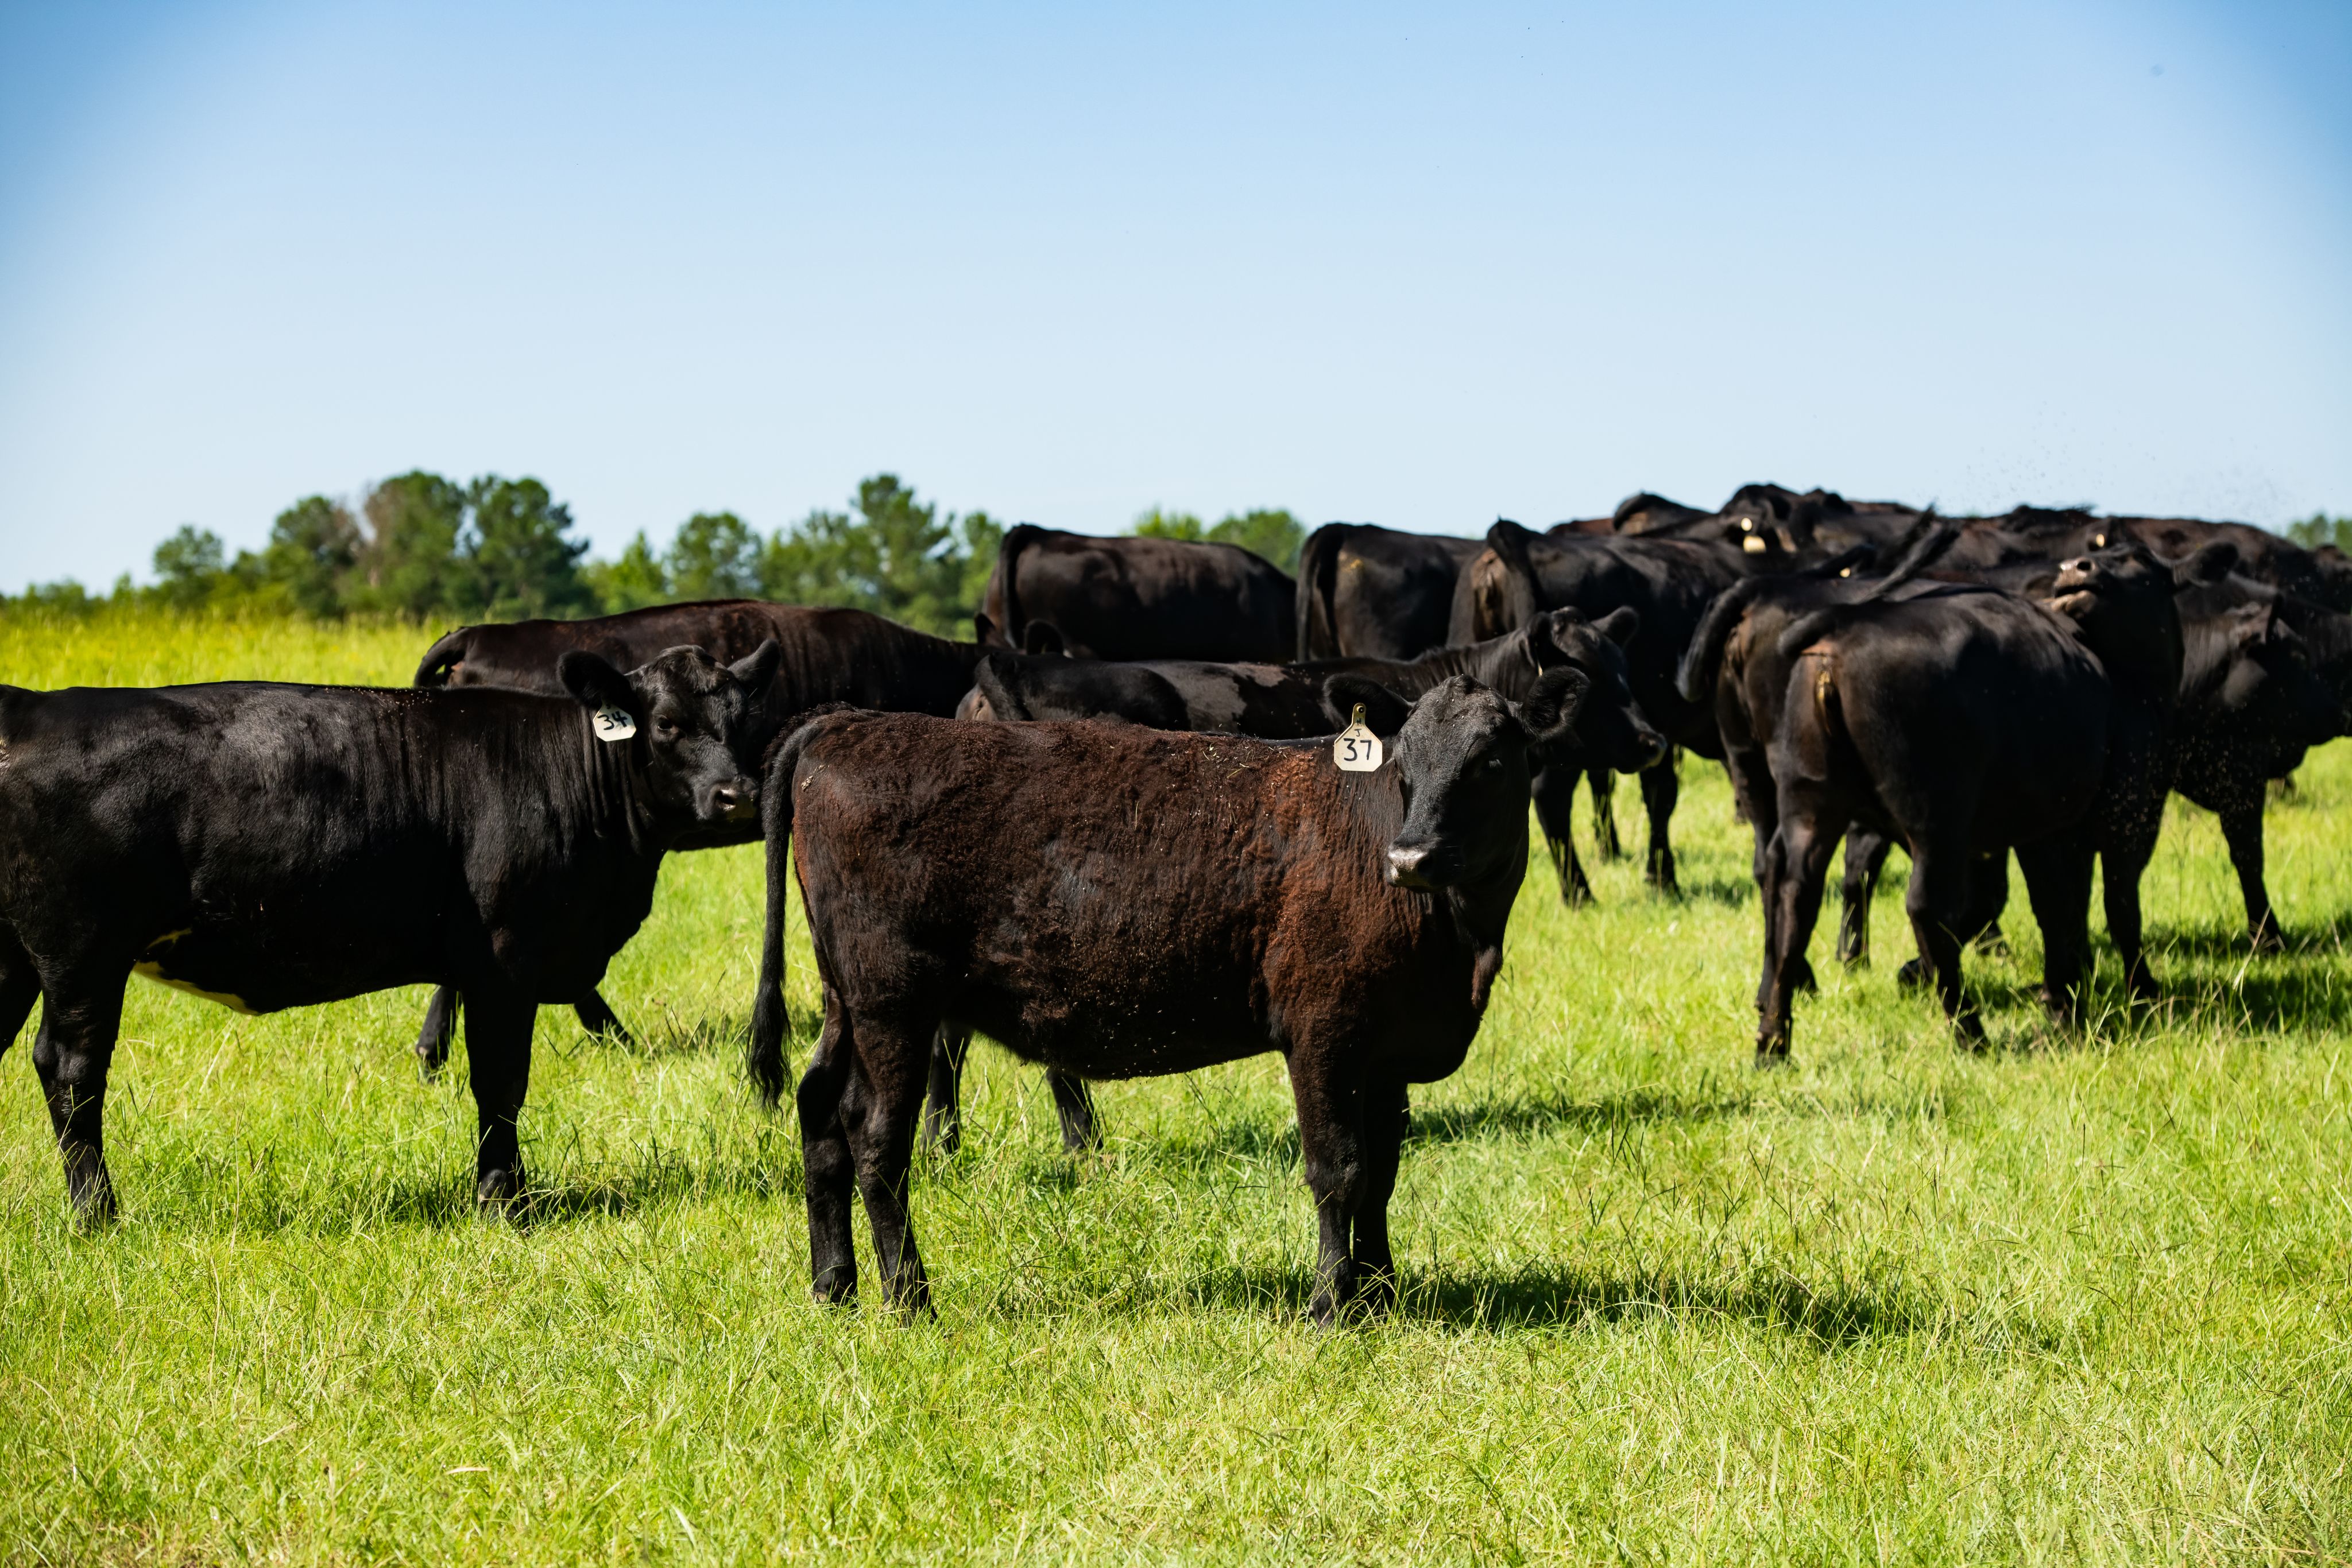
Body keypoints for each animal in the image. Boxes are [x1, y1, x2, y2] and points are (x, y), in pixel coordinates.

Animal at [0, 643, 780, 1222]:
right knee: (70, 1070)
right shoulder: (505, 959)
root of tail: (34, 704)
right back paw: (99, 1215)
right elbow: (501, 1079)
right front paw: (502, 1202)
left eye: (744, 720)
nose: (737, 795)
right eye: (666, 723)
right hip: (81, 952)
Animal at [747, 671, 1589, 1323]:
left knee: (820, 1110)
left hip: (845, 1000)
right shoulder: (1322, 1031)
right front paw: (1330, 1305)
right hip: (893, 1003)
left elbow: (1381, 1174)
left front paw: (1381, 1295)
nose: (1410, 857)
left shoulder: (1384, 1048)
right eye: (1405, 765)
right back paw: (910, 1298)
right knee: (877, 1140)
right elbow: (1338, 1168)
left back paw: (834, 1287)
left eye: (1489, 760)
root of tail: (845, 723)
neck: (1459, 945)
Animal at [1752, 543, 2182, 1062]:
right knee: (1925, 907)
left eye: (2134, 557)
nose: (2078, 567)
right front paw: (2137, 992)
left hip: (1810, 804)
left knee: (1796, 893)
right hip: (1935, 819)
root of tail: (1849, 620)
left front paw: (2065, 997)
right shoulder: (2124, 822)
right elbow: (2115, 910)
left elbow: (2052, 907)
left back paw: (1773, 1039)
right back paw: (1970, 1031)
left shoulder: (2040, 830)